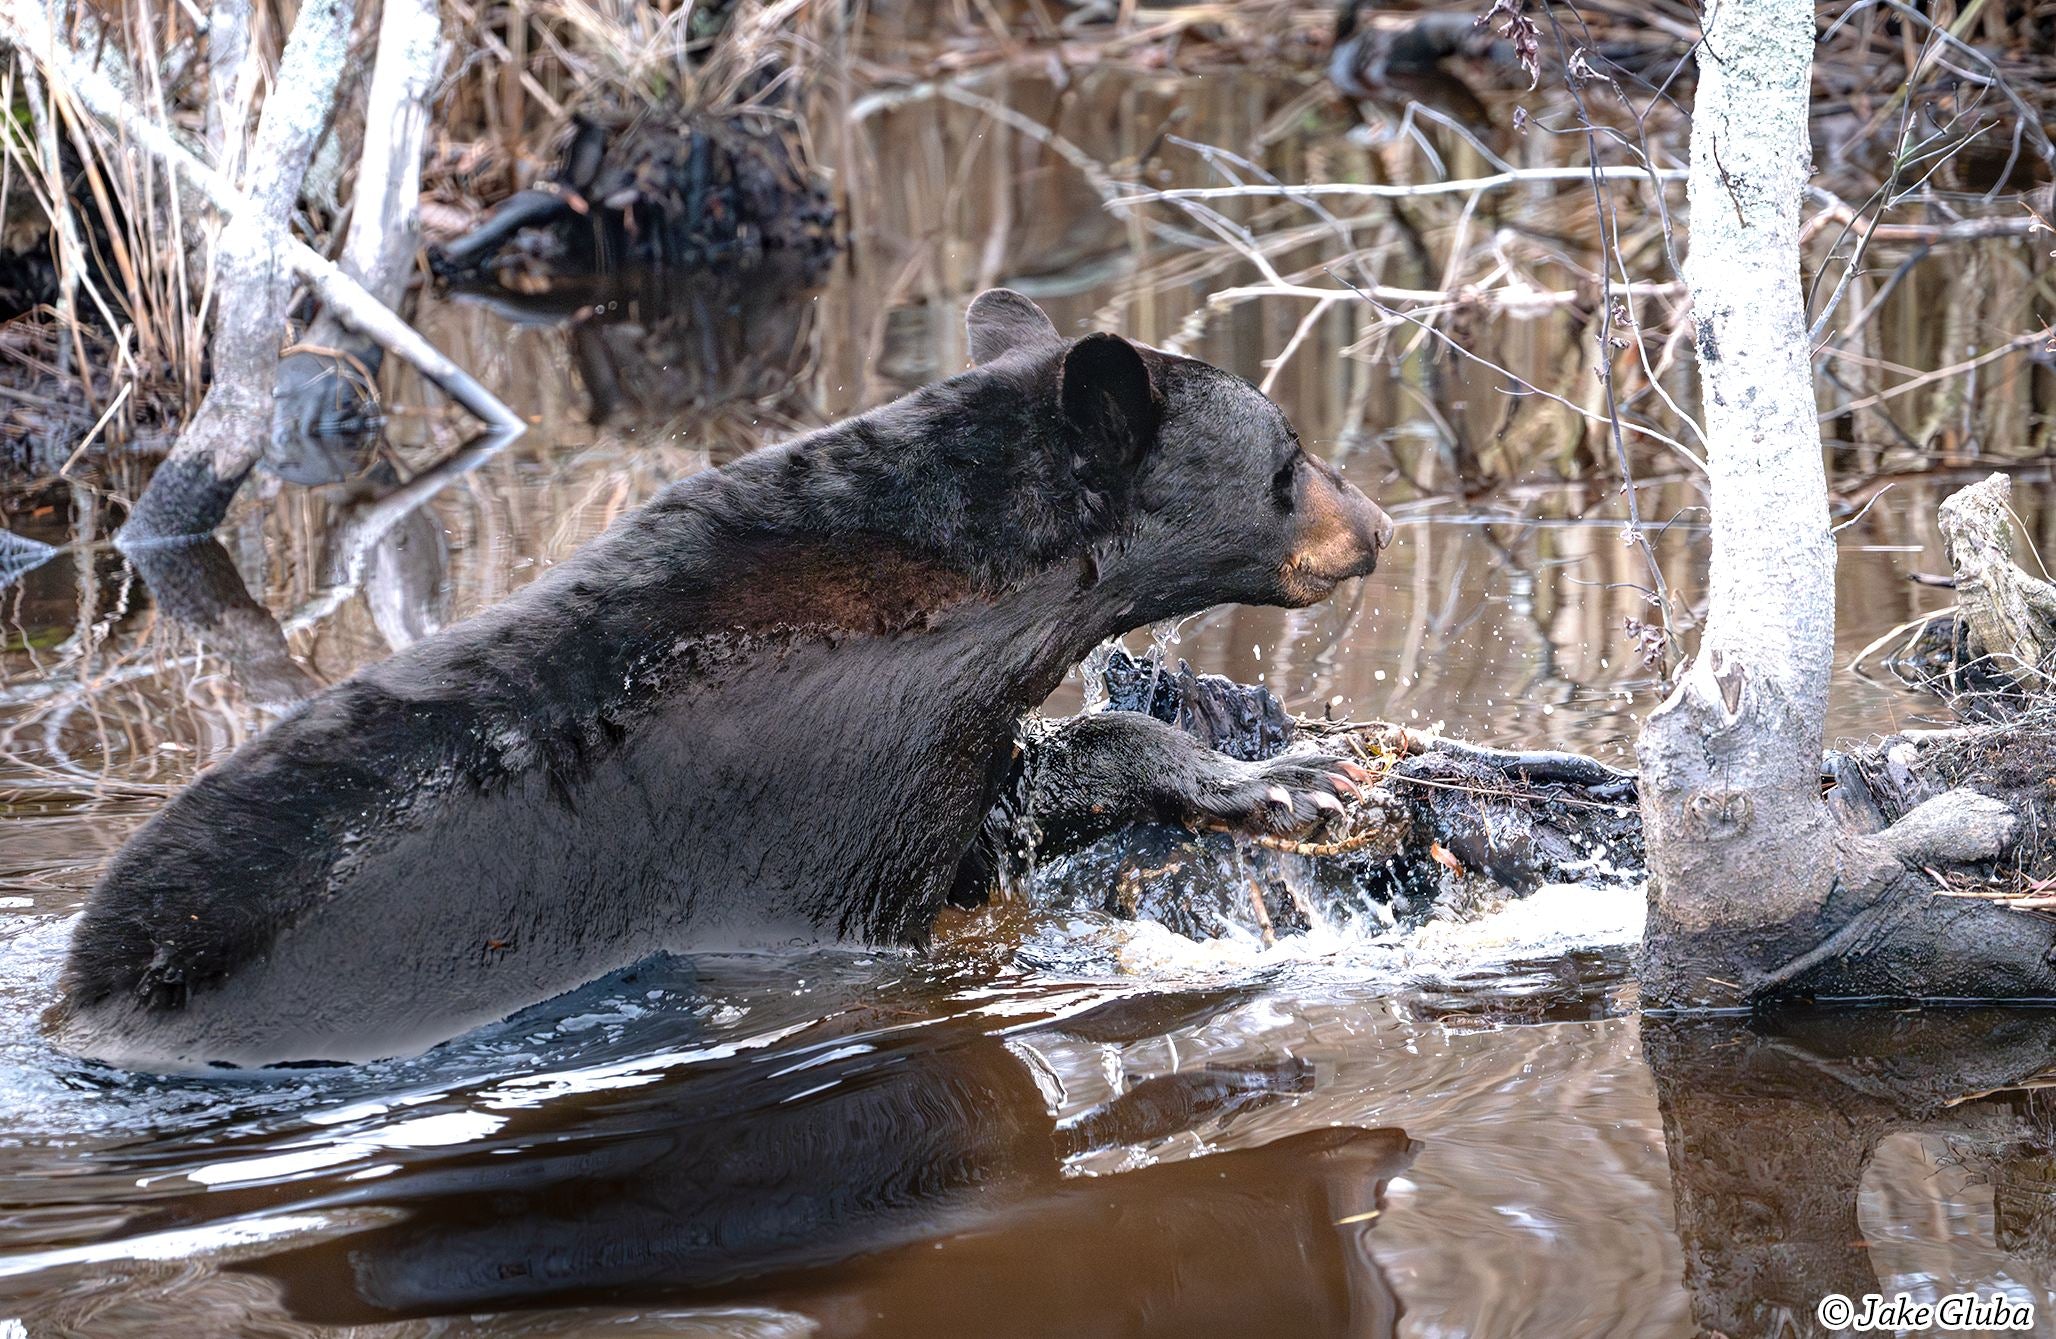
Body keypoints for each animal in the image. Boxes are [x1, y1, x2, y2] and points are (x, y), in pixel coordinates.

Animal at [55, 289, 1394, 1070]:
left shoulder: (929, 750)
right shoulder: (835, 806)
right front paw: (1300, 775)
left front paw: (1285, 774)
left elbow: (1027, 794)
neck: (959, 603)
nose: (1378, 524)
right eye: (1288, 460)